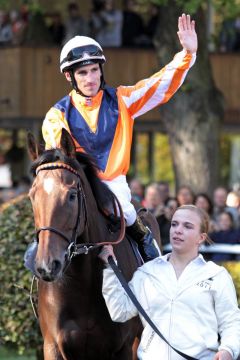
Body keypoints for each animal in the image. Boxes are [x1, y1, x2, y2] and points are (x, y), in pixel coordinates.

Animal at [26, 129, 160, 360]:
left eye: (71, 195)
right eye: (32, 196)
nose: (47, 265)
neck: (82, 283)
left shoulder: (123, 347)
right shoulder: (53, 346)